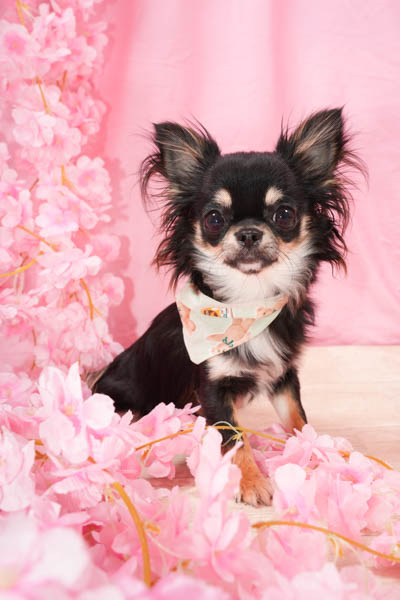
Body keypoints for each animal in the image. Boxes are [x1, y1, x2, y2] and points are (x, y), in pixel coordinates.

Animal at [92, 108, 362, 506]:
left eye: (284, 214)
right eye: (214, 219)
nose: (248, 232)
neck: (249, 302)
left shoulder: (283, 377)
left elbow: (299, 420)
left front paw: (323, 452)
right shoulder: (212, 387)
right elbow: (234, 438)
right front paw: (250, 482)